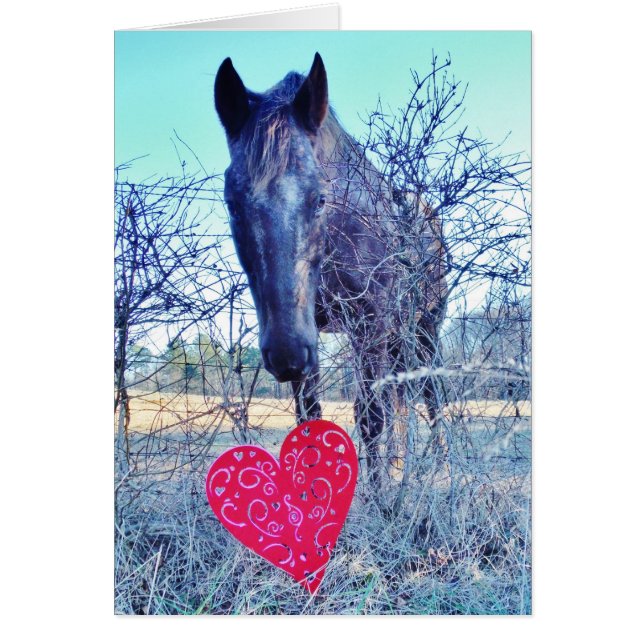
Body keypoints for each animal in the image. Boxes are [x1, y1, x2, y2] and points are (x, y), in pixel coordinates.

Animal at [214, 53, 447, 485]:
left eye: (320, 198)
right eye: (232, 203)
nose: (284, 353)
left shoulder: (369, 325)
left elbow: (371, 417)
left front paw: (379, 498)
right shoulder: (309, 339)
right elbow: (310, 420)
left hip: (425, 331)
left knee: (429, 395)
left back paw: (442, 469)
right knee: (402, 400)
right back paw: (400, 467)